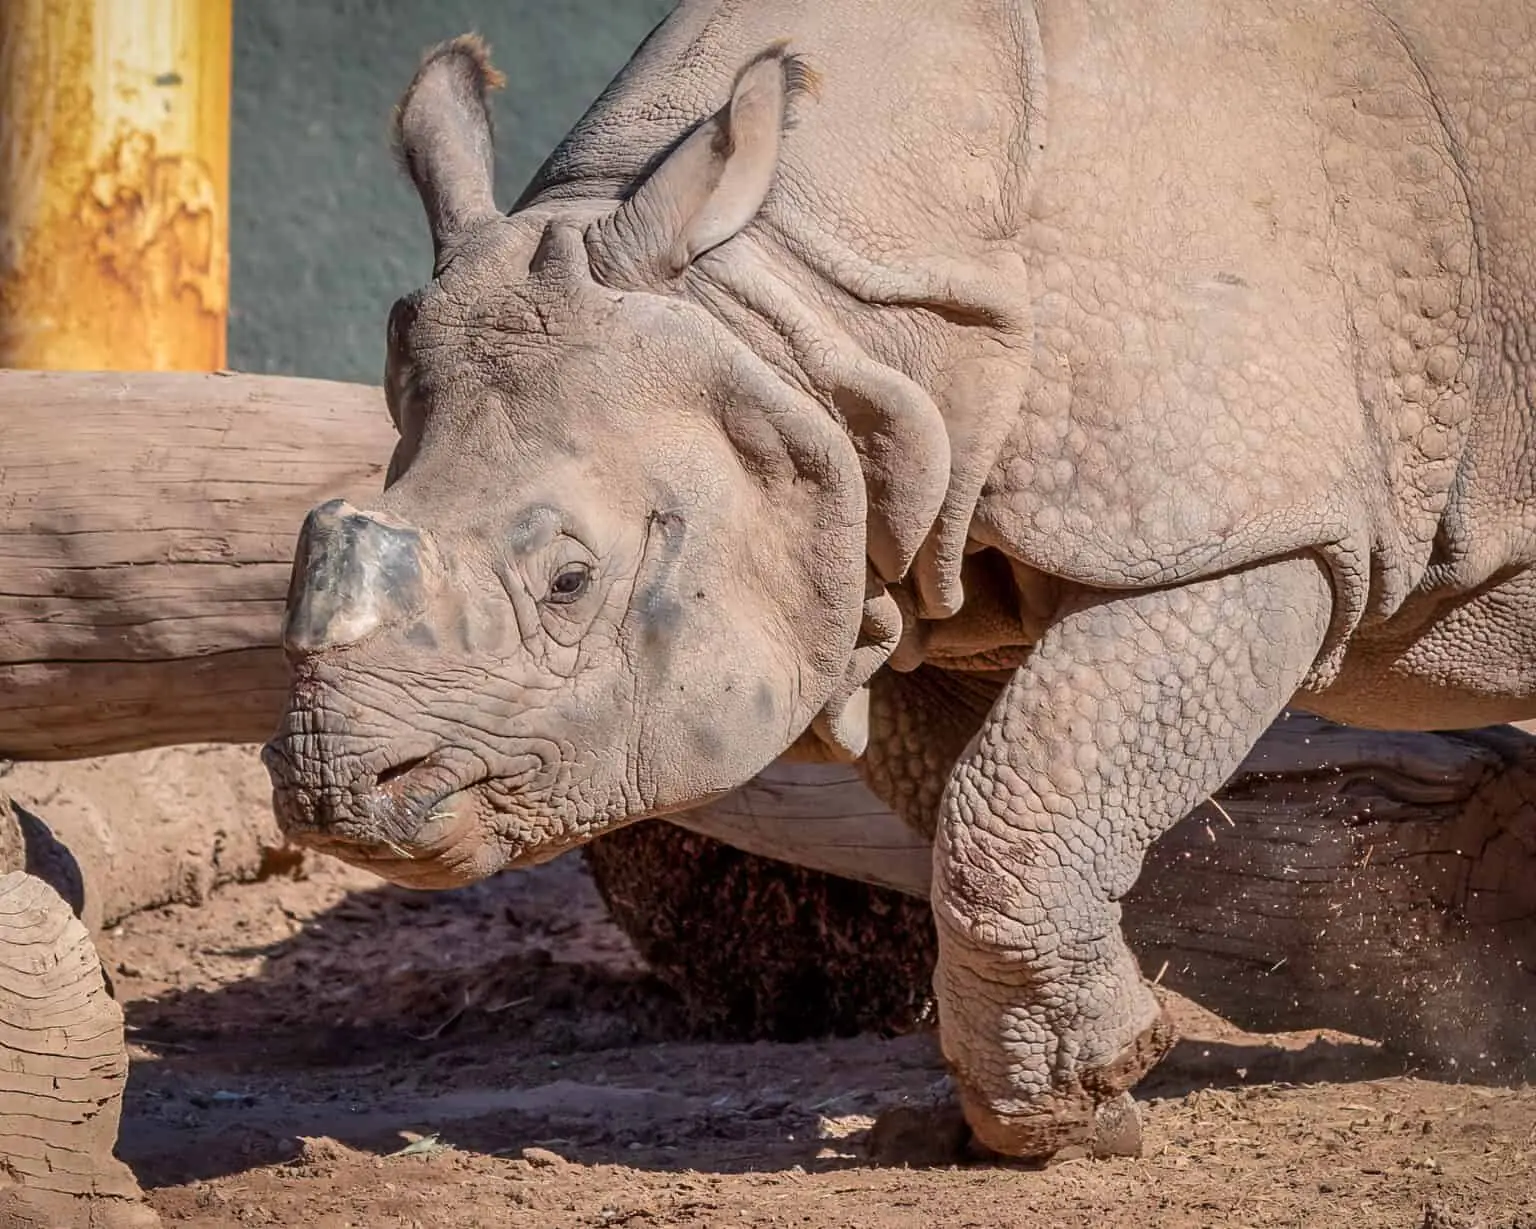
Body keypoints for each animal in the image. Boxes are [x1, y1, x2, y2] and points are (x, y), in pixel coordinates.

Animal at [267, 2, 1536, 1161]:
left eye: (570, 581)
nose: (336, 791)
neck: (791, 306)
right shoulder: (891, 549)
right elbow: (1000, 804)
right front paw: (1080, 1080)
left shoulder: (1248, 524)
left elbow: (1015, 806)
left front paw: (1069, 1109)